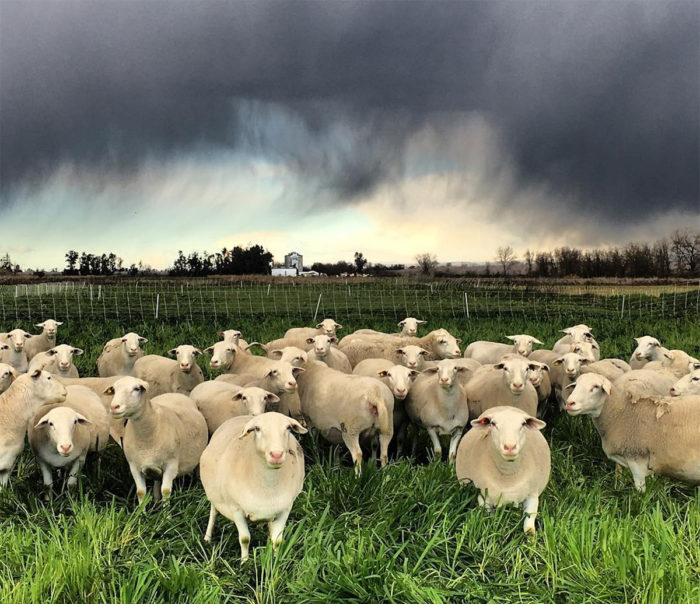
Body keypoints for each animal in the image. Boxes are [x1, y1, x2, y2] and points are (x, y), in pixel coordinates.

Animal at [197, 410, 306, 560]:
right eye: (257, 429)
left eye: (288, 428)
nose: (276, 454)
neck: (267, 486)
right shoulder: (236, 509)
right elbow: (244, 539)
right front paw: (245, 561)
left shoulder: (285, 509)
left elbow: (277, 540)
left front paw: (275, 559)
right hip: (215, 496)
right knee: (213, 513)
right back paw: (207, 538)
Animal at [564, 372, 700, 490]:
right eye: (575, 385)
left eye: (596, 386)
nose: (570, 403)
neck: (620, 412)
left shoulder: (636, 459)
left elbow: (640, 490)